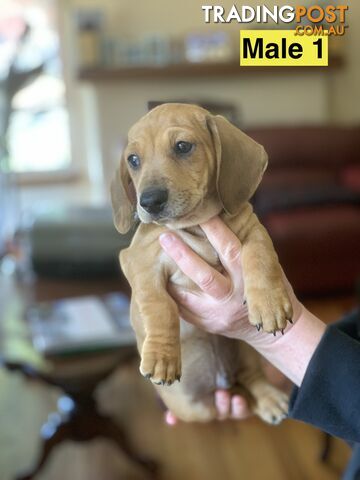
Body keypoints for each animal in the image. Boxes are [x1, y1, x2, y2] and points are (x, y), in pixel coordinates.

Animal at [112, 104, 292, 424]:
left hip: (247, 353)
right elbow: (158, 303)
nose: (149, 202)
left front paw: (269, 303)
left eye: (183, 146)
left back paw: (270, 399)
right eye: (133, 160)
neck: (196, 225)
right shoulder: (138, 261)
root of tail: (222, 382)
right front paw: (162, 356)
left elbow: (260, 256)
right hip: (193, 408)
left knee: (252, 381)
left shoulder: (253, 230)